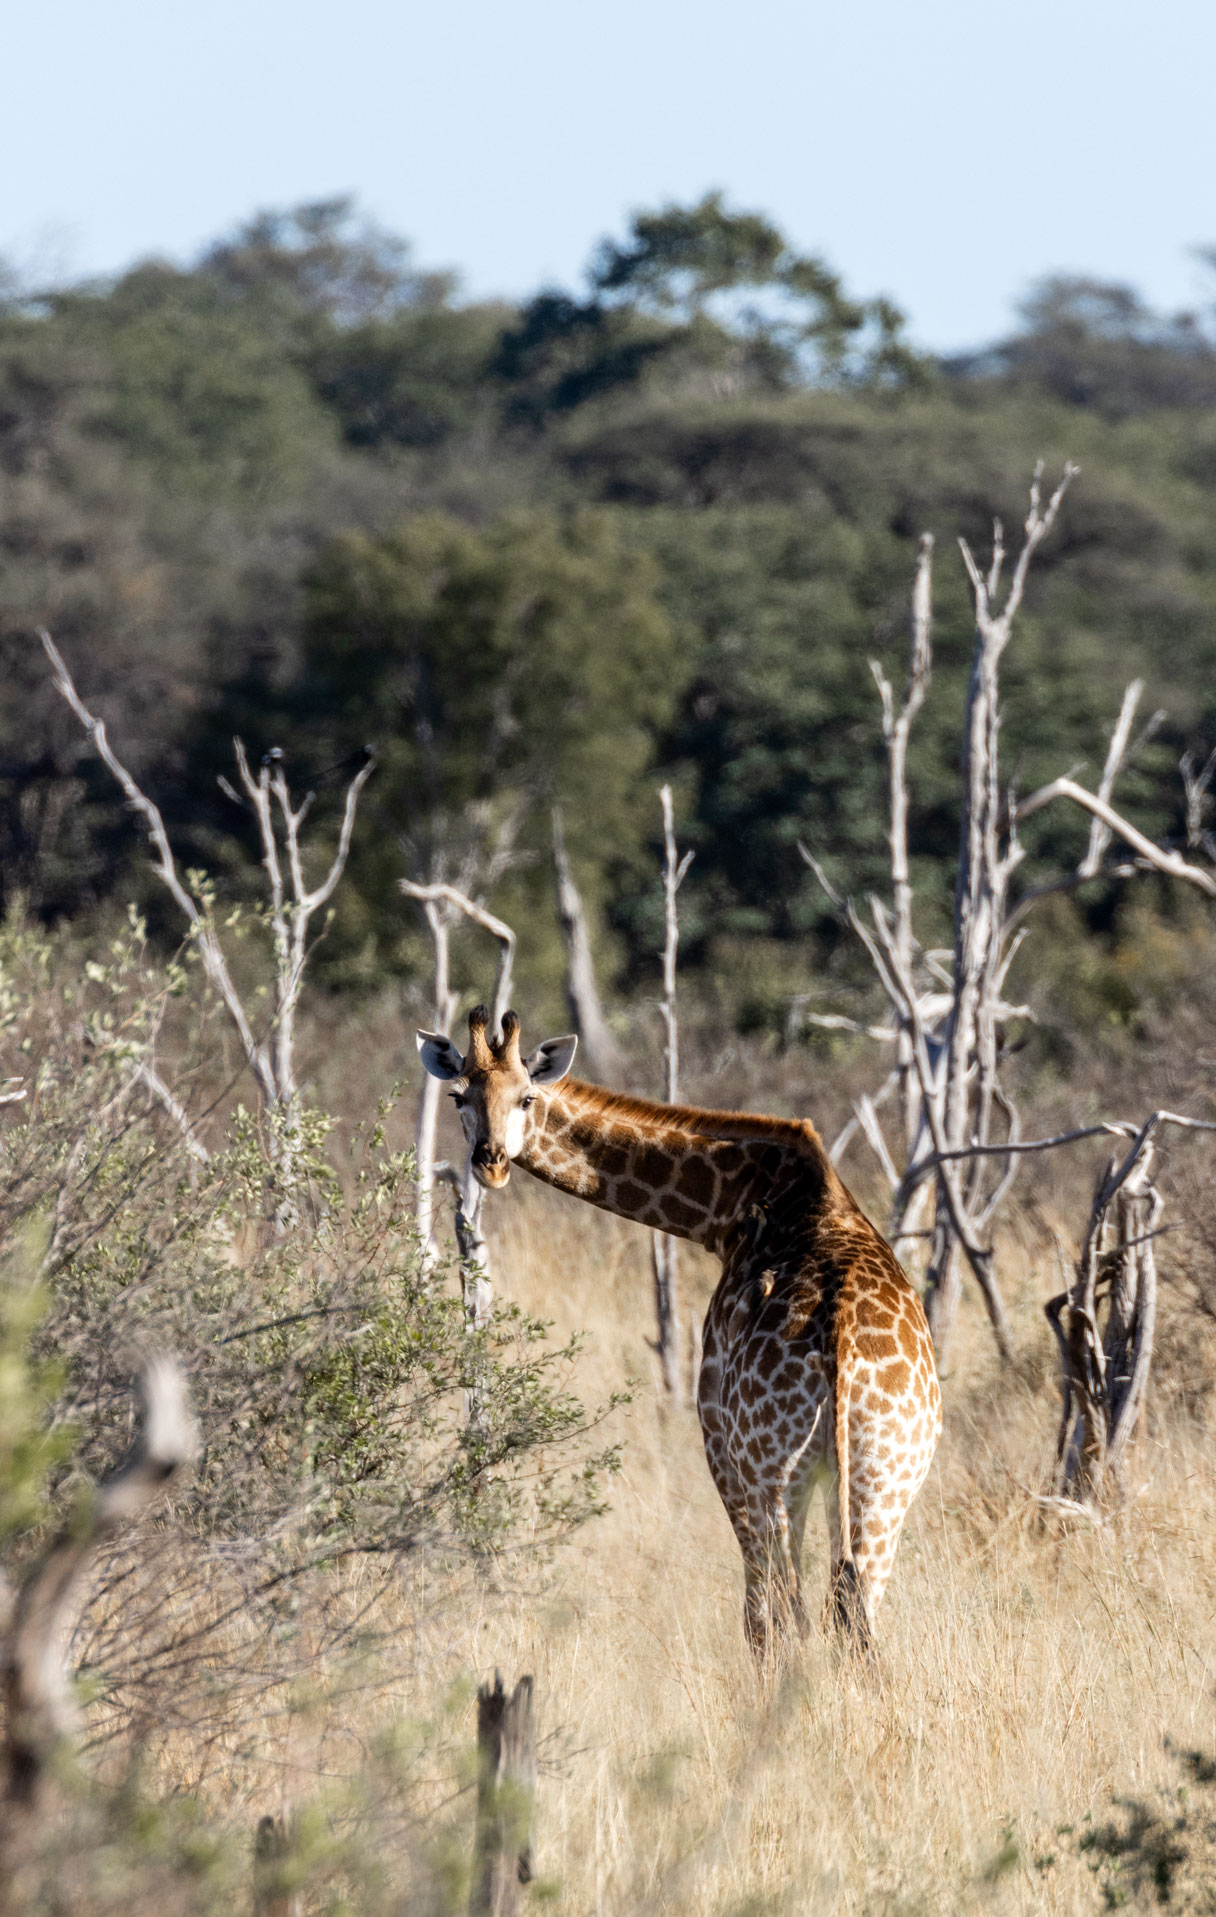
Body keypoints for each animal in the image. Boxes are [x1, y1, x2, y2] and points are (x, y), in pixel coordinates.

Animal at [418, 1005, 942, 1658]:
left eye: (526, 1097)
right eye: (459, 1096)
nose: (489, 1163)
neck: (731, 1209)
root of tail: (843, 1346)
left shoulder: (717, 1438)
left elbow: (757, 1614)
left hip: (775, 1471)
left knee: (792, 1608)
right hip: (885, 1478)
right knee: (853, 1610)